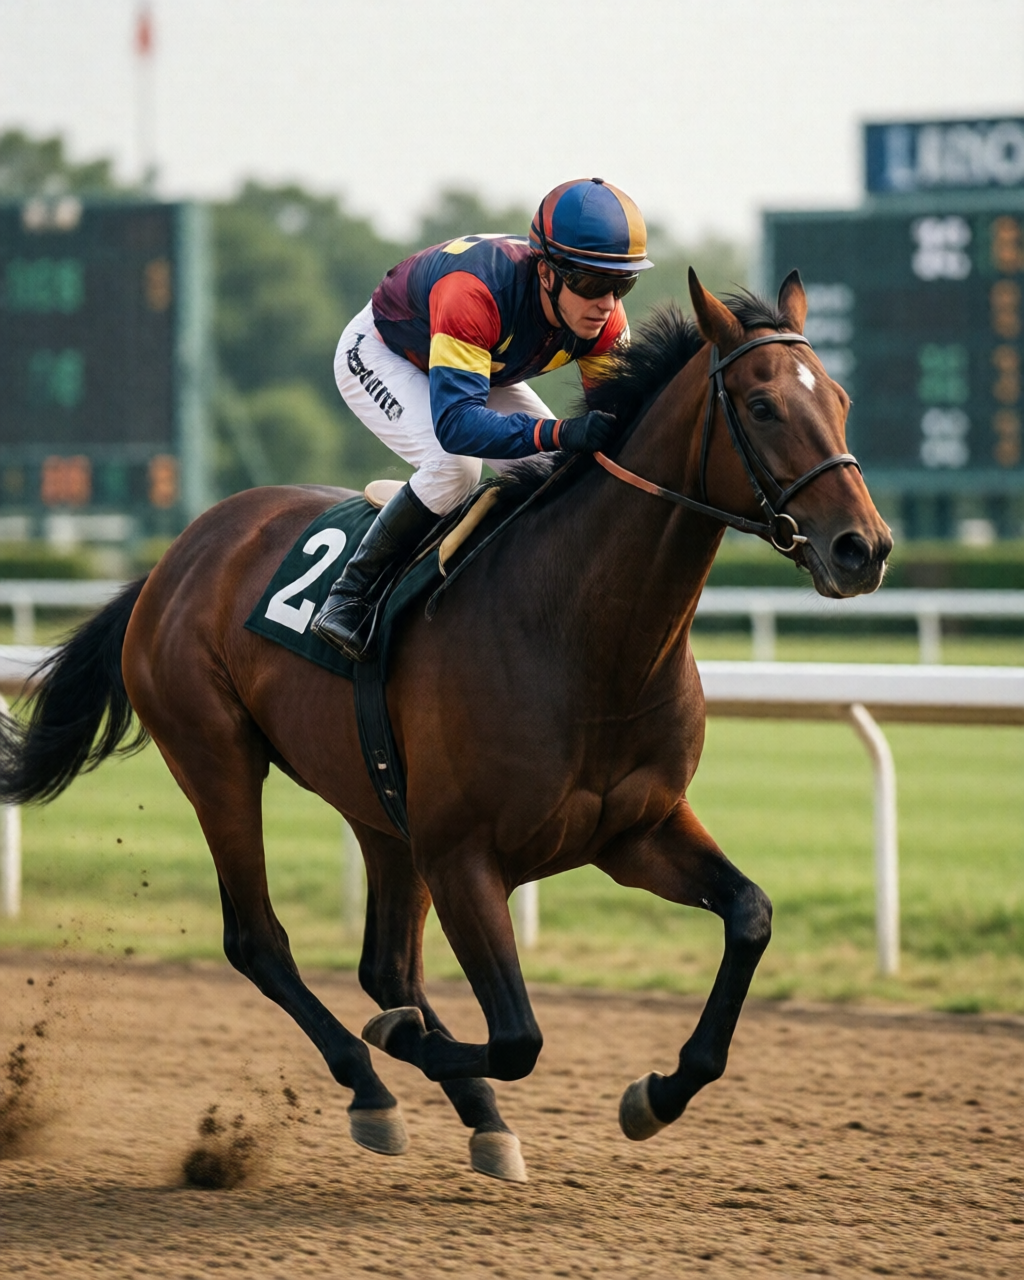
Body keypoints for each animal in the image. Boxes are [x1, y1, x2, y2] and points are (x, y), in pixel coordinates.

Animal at [0, 270, 891, 1183]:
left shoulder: (634, 831)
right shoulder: (464, 855)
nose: (863, 548)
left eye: (842, 400)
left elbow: (750, 915)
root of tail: (173, 559)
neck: (583, 635)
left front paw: (656, 1093)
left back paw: (477, 1115)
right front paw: (408, 1048)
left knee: (386, 965)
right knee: (260, 941)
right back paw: (371, 1086)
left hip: (380, 809)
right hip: (218, 761)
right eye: (762, 406)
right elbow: (520, 1035)